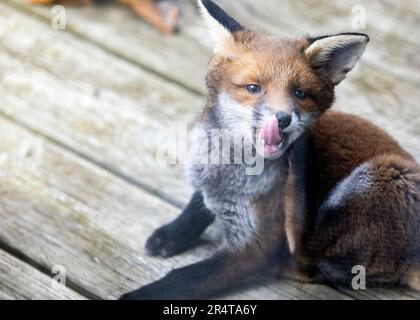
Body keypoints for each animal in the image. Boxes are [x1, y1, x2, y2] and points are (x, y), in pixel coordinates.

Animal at [118, 0, 420, 300]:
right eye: (254, 88)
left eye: (300, 93)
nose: (283, 118)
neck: (228, 172)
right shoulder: (207, 183)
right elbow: (196, 204)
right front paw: (172, 233)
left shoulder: (254, 246)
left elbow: (183, 278)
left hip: (382, 176)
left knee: (327, 267)